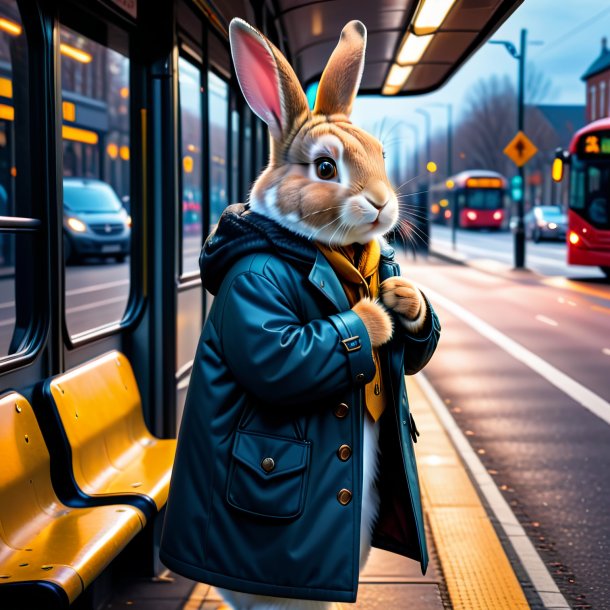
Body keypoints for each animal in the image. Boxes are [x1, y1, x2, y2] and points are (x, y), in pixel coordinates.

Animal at [214, 16, 428, 604]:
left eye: (382, 156)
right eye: (326, 167)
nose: (382, 202)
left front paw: (405, 301)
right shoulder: (256, 293)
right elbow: (281, 358)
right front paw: (376, 316)